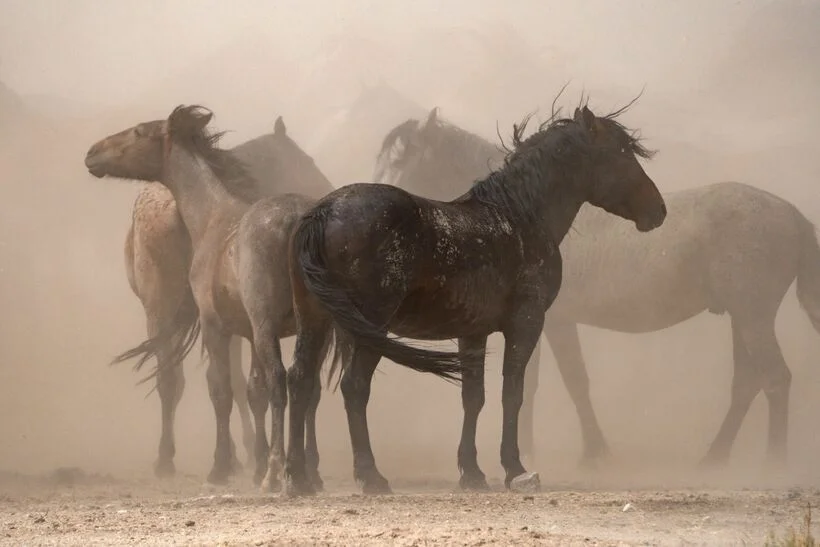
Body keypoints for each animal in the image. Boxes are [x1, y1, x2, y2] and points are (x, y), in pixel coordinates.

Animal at [85, 105, 345, 490]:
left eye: (138, 132)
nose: (92, 153)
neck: (212, 216)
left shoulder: (216, 326)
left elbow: (222, 389)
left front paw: (221, 466)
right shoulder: (246, 332)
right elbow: (252, 390)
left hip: (256, 325)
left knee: (276, 380)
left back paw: (273, 471)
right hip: (312, 328)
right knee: (302, 382)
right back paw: (299, 473)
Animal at [283, 100, 667, 496]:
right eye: (619, 154)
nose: (658, 209)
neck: (518, 216)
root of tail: (324, 212)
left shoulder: (472, 332)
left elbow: (474, 397)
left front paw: (472, 472)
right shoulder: (526, 323)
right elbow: (512, 393)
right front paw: (514, 468)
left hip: (314, 321)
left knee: (299, 380)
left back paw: (298, 477)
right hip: (369, 327)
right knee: (354, 387)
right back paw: (370, 475)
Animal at [374, 106, 820, 470]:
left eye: (403, 160)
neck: (519, 215)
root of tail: (794, 216)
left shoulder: (553, 322)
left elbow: (568, 381)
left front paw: (590, 452)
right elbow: (537, 381)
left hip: (753, 316)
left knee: (775, 379)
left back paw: (773, 463)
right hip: (742, 317)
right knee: (748, 383)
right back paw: (715, 457)